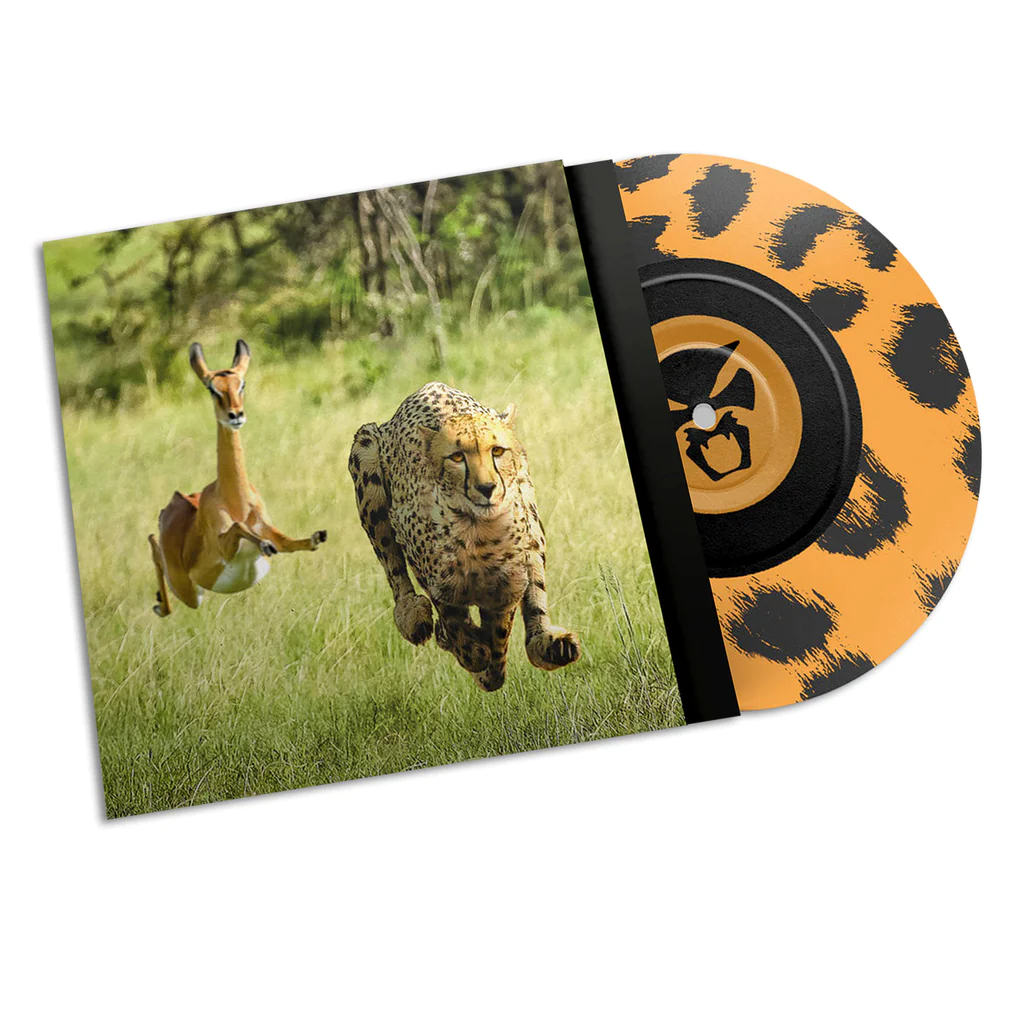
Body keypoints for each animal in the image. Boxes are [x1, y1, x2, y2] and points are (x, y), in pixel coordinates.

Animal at [148, 339, 327, 616]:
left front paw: (317, 537)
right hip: (188, 591)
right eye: (212, 389)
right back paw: (158, 605)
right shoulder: (225, 545)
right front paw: (264, 545)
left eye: (242, 384)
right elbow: (238, 528)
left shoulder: (269, 528)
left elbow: (291, 541)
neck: (236, 503)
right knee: (154, 545)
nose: (236, 415)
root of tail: (174, 502)